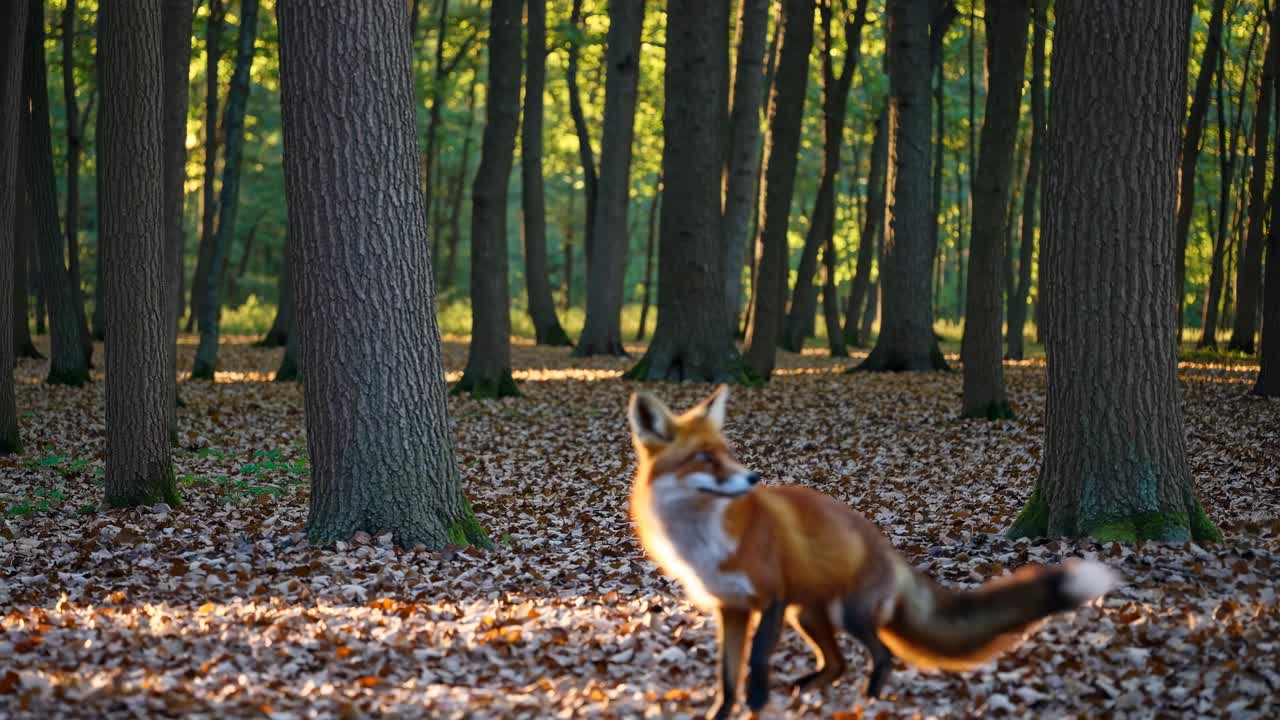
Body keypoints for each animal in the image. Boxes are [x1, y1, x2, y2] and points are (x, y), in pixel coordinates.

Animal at [627, 385, 1119, 719]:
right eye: (705, 459)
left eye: (727, 453)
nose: (752, 479)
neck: (704, 538)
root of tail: (890, 550)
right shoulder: (731, 608)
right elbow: (728, 678)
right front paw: (724, 712)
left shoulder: (771, 599)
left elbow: (757, 666)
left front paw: (758, 705)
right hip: (808, 615)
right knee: (838, 662)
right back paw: (809, 691)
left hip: (846, 614)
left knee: (881, 656)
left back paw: (869, 700)